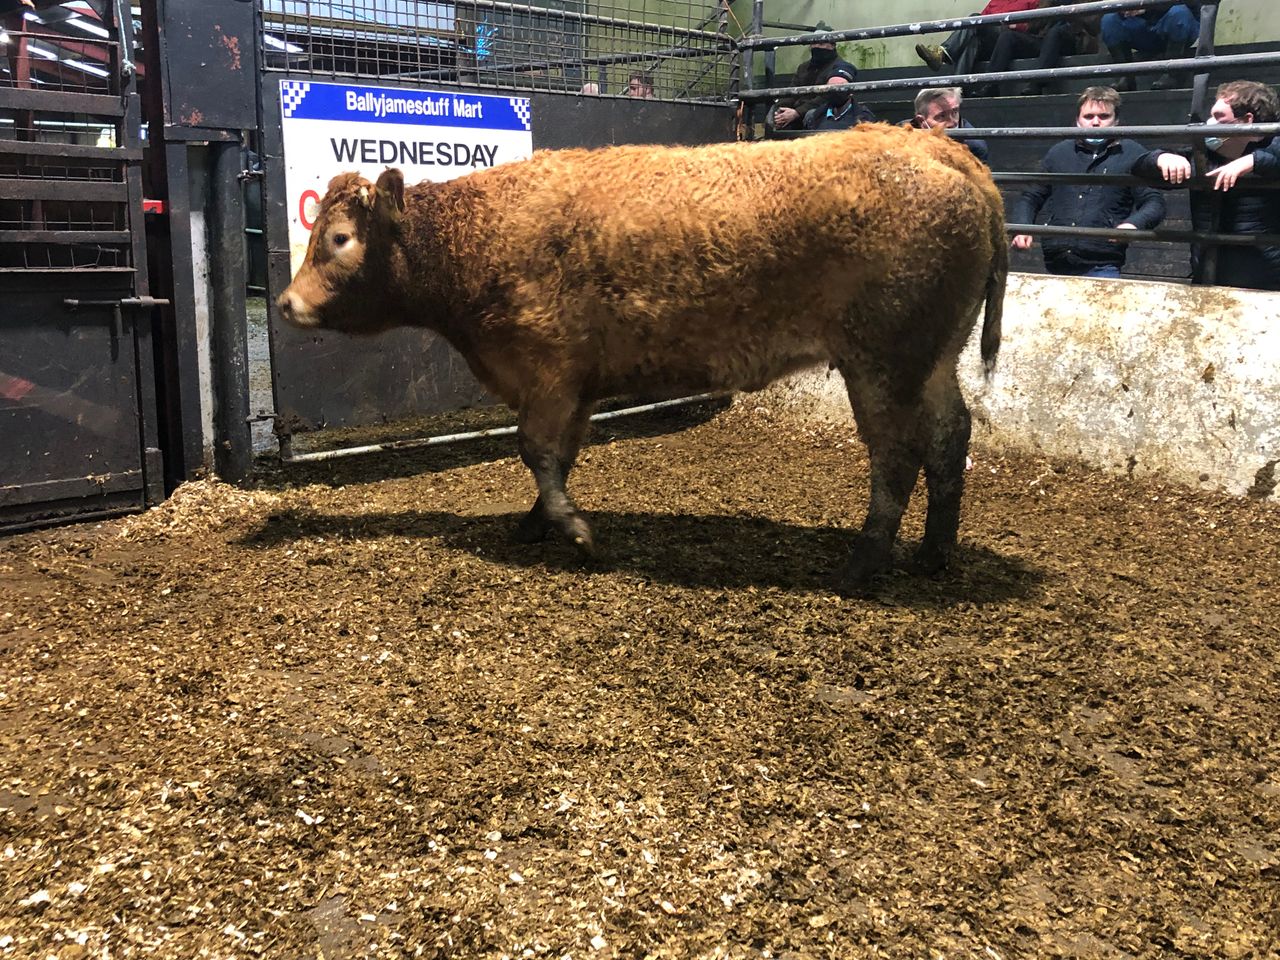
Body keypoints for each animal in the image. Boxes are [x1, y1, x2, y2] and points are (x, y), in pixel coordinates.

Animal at [277, 123, 1007, 588]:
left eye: (339, 238)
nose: (285, 302)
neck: (478, 239)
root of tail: (935, 147)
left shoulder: (547, 370)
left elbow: (536, 451)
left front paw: (574, 531)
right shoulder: (576, 382)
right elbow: (559, 457)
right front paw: (537, 523)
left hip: (883, 361)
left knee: (898, 455)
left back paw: (862, 565)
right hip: (934, 358)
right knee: (950, 437)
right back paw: (934, 554)